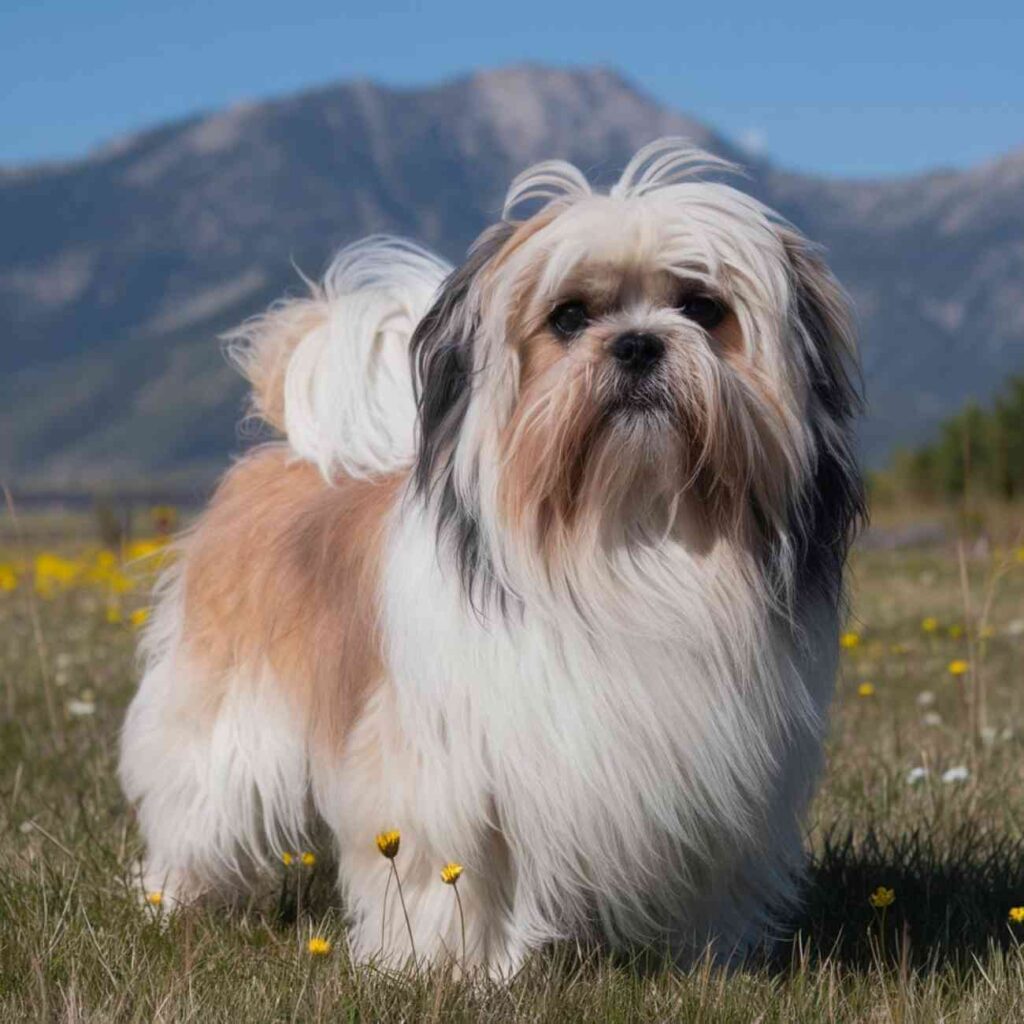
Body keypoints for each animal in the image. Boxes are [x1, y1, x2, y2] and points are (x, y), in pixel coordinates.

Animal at [119, 140, 864, 970]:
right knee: (196, 810)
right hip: (227, 729)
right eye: (569, 317)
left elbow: (712, 876)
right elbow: (447, 873)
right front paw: (443, 968)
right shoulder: (444, 774)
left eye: (703, 308)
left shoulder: (724, 778)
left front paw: (710, 959)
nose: (639, 342)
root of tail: (290, 456)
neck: (628, 535)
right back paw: (170, 906)